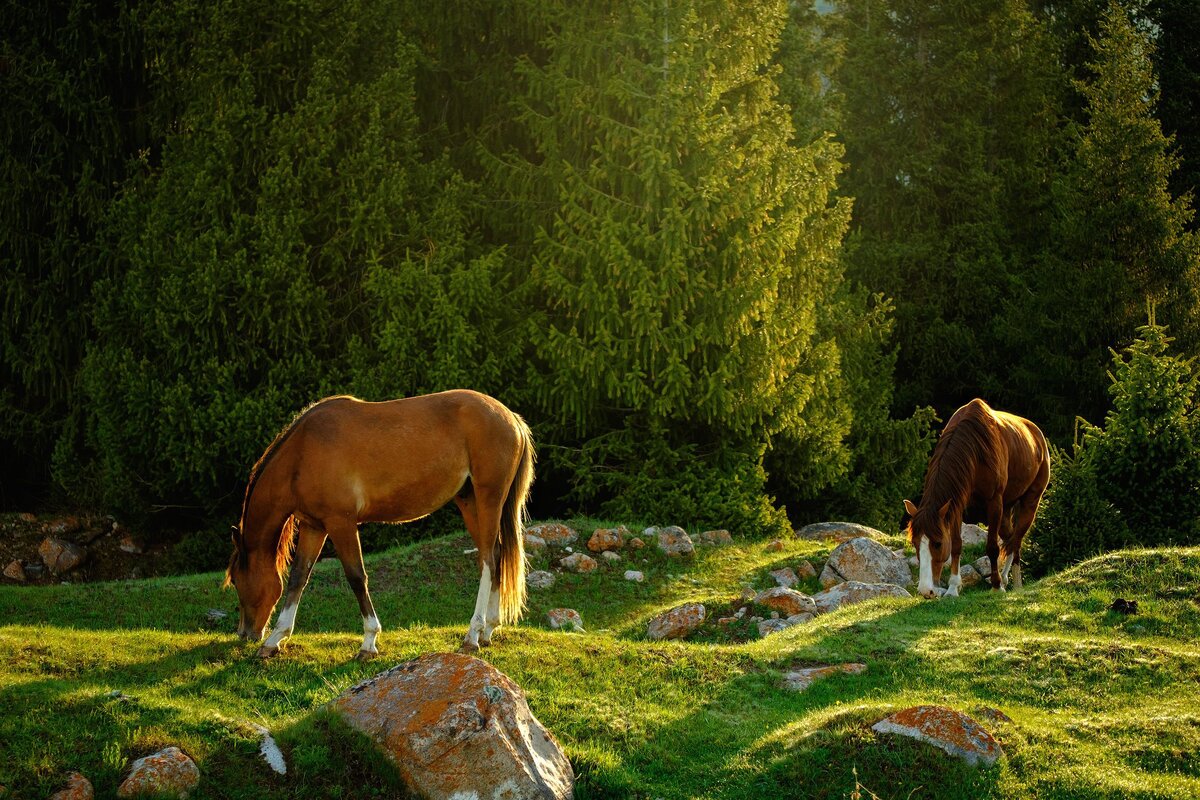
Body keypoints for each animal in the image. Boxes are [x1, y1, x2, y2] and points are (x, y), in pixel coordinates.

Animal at [223, 391, 532, 662]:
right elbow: (298, 579)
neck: (303, 452)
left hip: (488, 498)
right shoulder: (314, 527)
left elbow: (357, 577)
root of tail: (511, 418)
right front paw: (275, 639)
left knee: (488, 560)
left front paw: (369, 642)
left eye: (236, 580)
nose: (245, 633)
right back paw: (489, 630)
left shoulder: (342, 523)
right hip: (470, 502)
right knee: (496, 555)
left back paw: (473, 634)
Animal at [902, 398, 1046, 597]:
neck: (975, 450)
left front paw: (995, 586)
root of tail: (1036, 433)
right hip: (1005, 512)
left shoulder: (994, 503)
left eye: (938, 544)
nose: (926, 591)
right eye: (915, 543)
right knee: (1010, 540)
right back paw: (1006, 579)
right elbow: (956, 545)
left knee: (1016, 541)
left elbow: (992, 547)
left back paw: (1014, 584)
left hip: (1029, 503)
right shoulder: (956, 505)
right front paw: (953, 588)